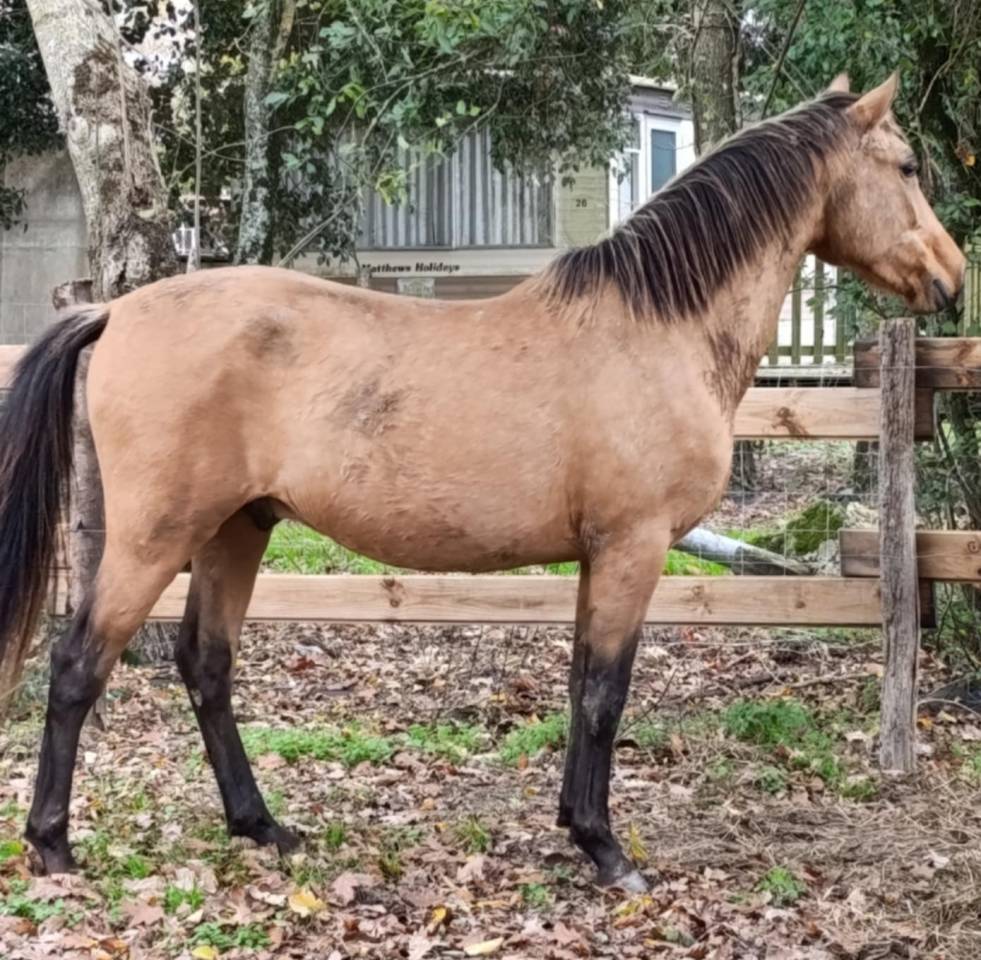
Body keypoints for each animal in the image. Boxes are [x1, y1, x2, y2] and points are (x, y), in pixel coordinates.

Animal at [0, 72, 965, 890]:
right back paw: (53, 845)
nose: (950, 278)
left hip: (240, 526)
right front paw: (607, 852)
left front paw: (577, 827)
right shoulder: (634, 547)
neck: (658, 329)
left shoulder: (598, 556)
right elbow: (606, 693)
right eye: (907, 166)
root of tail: (115, 310)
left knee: (206, 663)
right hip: (154, 536)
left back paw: (260, 825)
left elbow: (580, 683)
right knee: (80, 664)